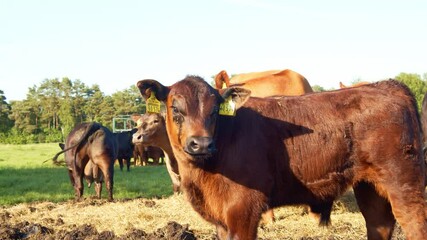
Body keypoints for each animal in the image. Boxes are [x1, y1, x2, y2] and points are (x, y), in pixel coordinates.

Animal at [137, 76, 427, 240]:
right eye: (175, 108)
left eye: (215, 110)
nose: (202, 144)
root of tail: (387, 85)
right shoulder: (220, 218)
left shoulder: (243, 211)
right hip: (370, 187)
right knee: (380, 226)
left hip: (404, 183)